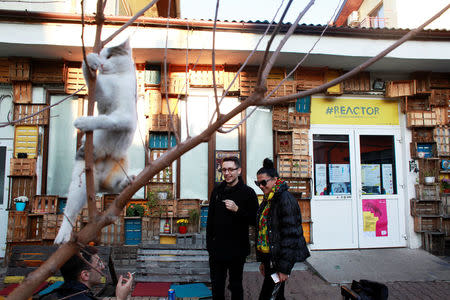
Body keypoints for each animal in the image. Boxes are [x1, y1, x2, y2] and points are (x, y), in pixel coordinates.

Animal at [54, 38, 137, 244]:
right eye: (101, 56)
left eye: (110, 56)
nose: (101, 64)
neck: (118, 78)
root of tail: (98, 181)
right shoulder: (104, 97)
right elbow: (98, 89)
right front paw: (89, 60)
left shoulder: (124, 117)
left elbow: (107, 120)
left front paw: (84, 122)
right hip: (80, 181)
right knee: (70, 212)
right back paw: (62, 235)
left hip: (120, 163)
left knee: (111, 188)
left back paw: (126, 182)